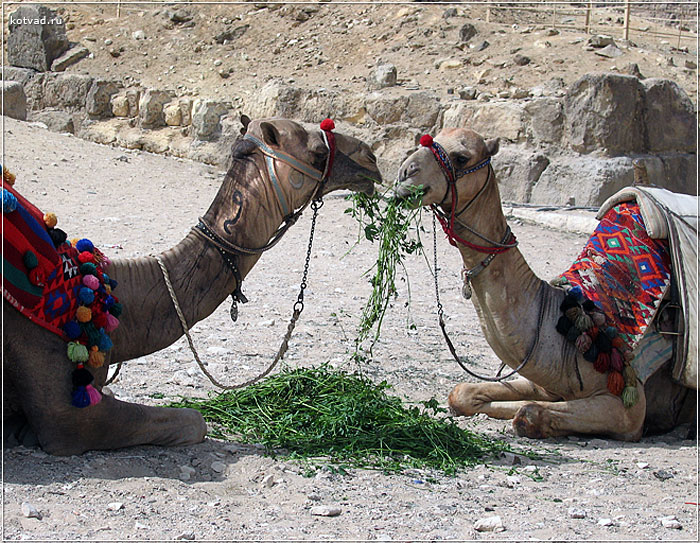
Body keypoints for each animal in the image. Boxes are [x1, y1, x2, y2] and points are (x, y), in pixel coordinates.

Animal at [396, 129, 692, 442]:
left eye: (461, 157)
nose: (405, 172)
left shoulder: (629, 409)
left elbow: (528, 414)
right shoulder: (549, 380)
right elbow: (461, 393)